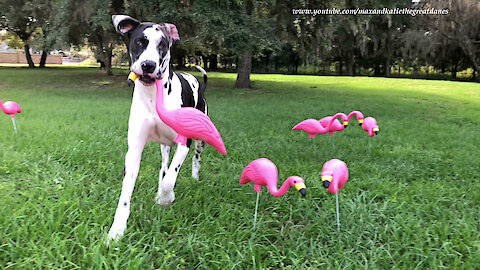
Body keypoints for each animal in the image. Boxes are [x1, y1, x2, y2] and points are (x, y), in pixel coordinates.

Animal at [109, 14, 209, 240]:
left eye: (162, 45)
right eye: (140, 41)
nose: (148, 65)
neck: (153, 97)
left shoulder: (184, 142)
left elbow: (170, 180)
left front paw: (165, 198)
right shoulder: (134, 151)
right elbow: (126, 193)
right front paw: (116, 231)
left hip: (200, 138)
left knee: (195, 160)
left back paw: (194, 178)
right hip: (165, 147)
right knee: (164, 167)